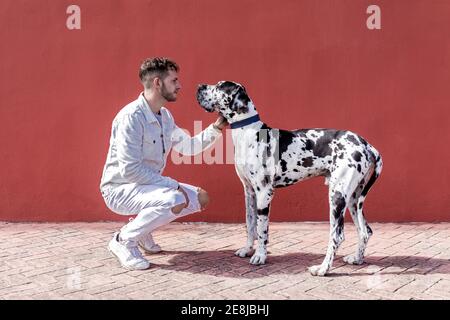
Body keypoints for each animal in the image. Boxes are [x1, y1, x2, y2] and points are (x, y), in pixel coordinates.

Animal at [197, 81, 384, 276]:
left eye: (219, 87)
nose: (200, 86)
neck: (248, 133)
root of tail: (365, 144)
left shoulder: (264, 193)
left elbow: (262, 229)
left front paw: (260, 256)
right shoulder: (249, 192)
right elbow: (250, 224)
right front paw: (247, 249)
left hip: (337, 196)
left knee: (337, 235)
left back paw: (323, 269)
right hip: (354, 199)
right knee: (365, 231)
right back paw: (357, 259)